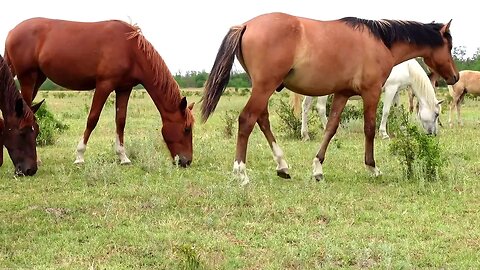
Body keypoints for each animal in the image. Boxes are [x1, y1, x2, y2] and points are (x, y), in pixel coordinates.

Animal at [3, 17, 195, 167]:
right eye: (186, 129)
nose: (186, 161)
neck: (130, 49)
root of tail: (12, 31)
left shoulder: (124, 88)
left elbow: (121, 121)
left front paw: (123, 156)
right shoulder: (104, 85)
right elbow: (92, 119)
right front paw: (79, 156)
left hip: (38, 78)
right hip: (28, 78)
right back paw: (36, 159)